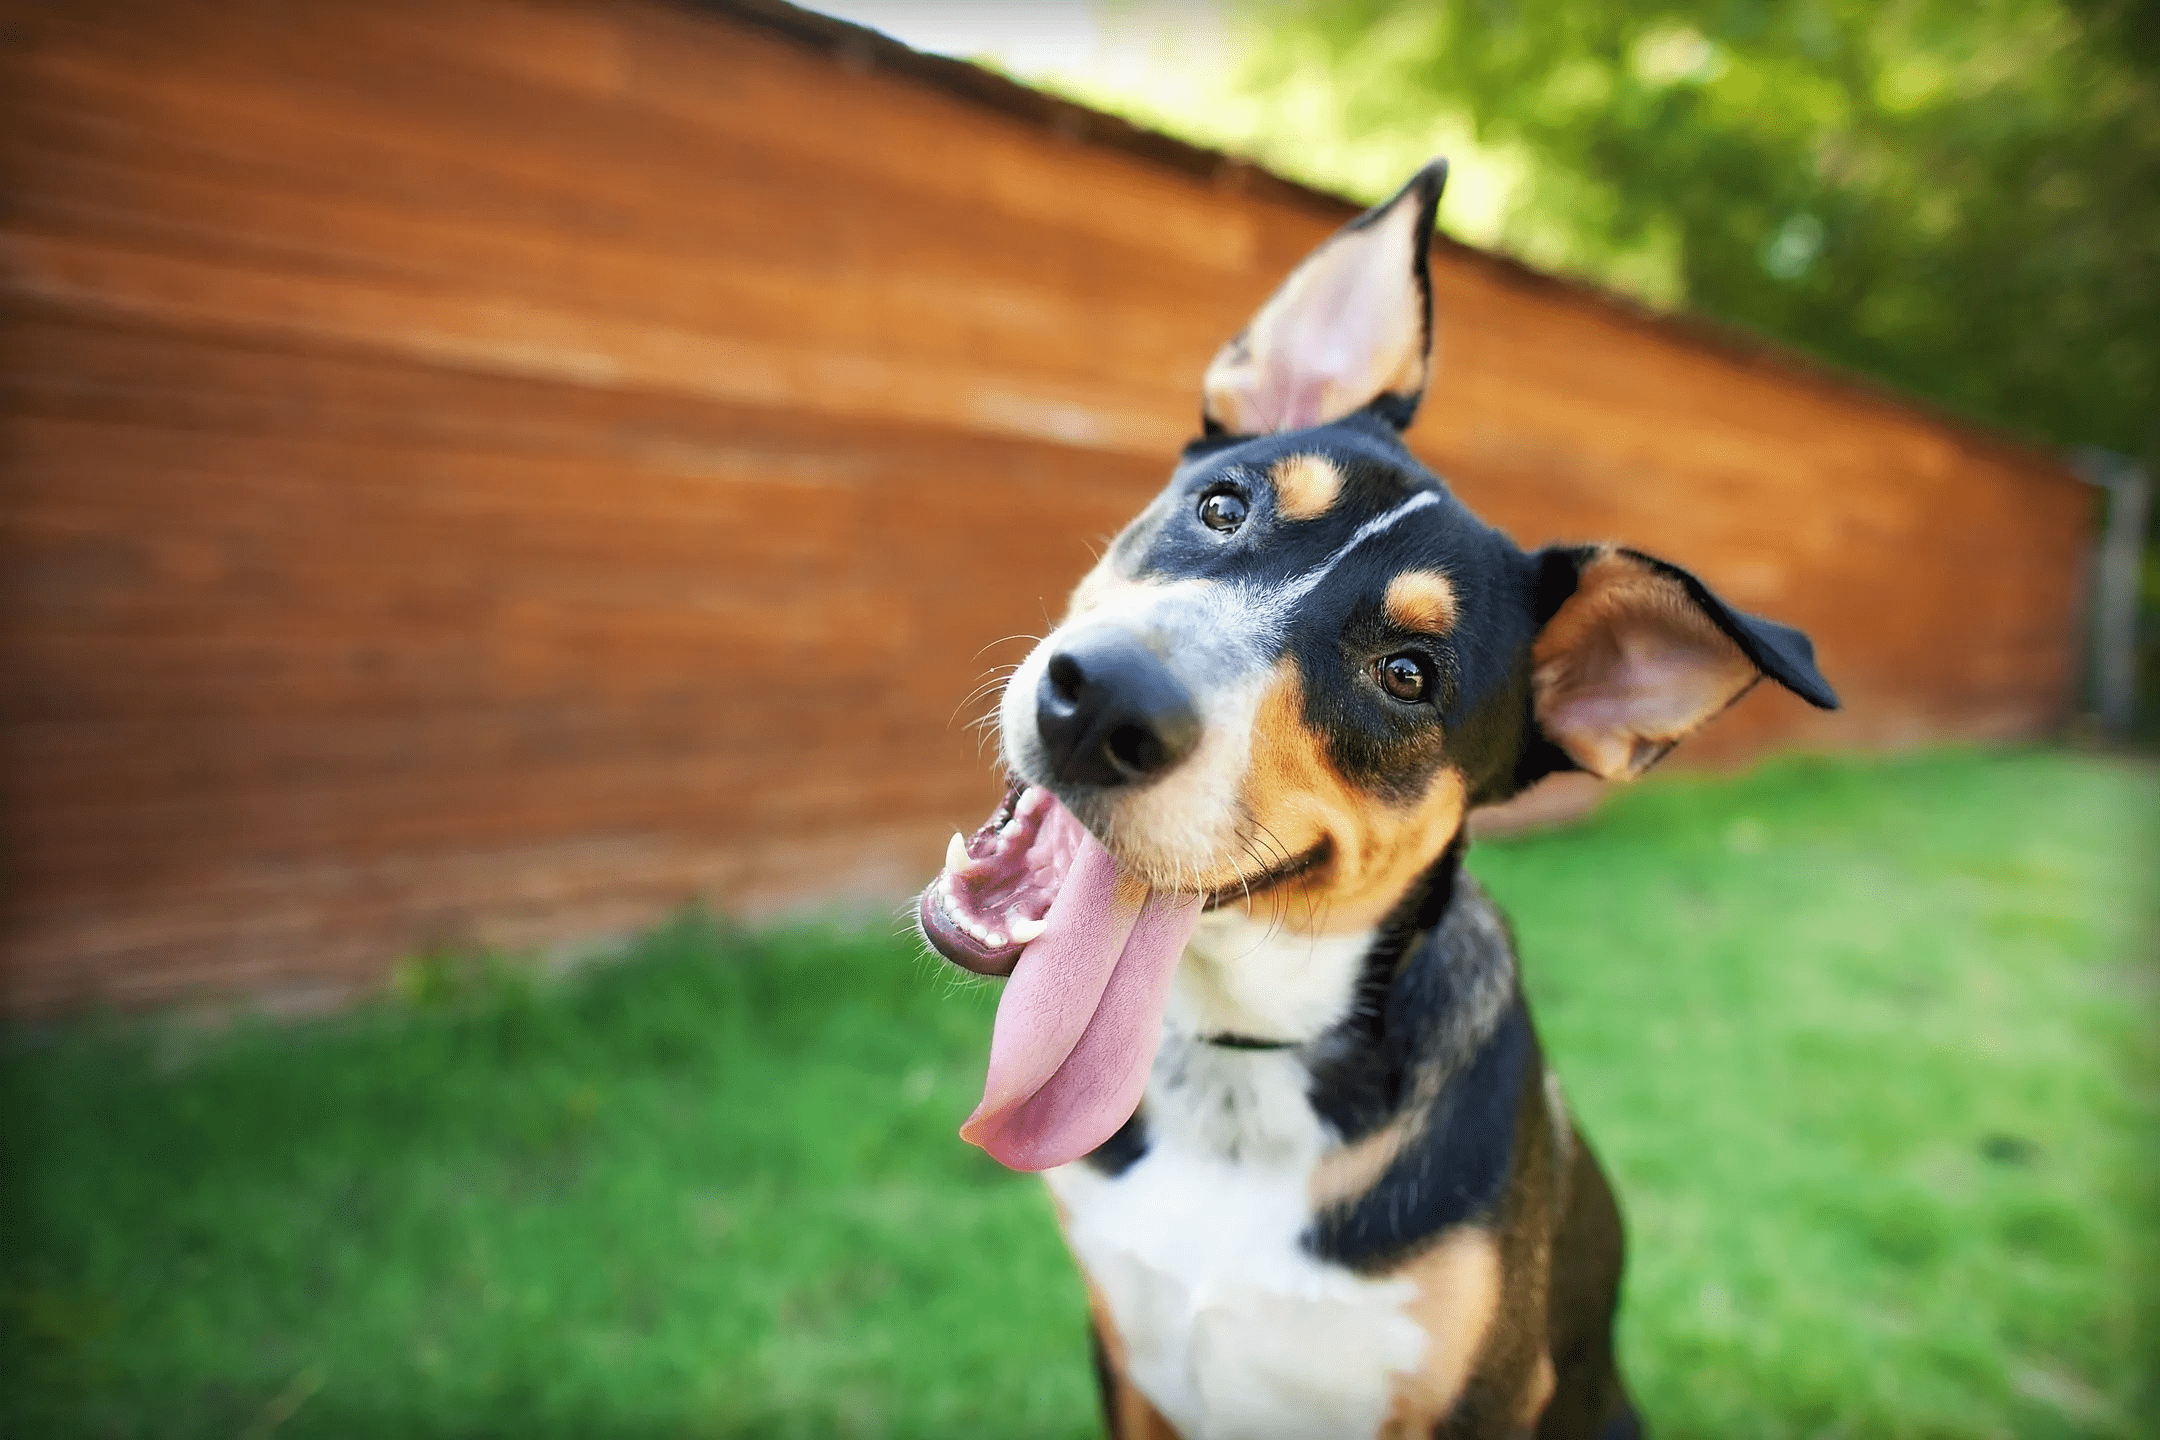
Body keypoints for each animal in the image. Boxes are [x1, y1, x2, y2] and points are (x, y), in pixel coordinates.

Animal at [915, 160, 1840, 1440]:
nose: (1099, 705)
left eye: (1408, 675)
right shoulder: (1125, 1356)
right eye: (1224, 506)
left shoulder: (1478, 1399)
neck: (1244, 1076)